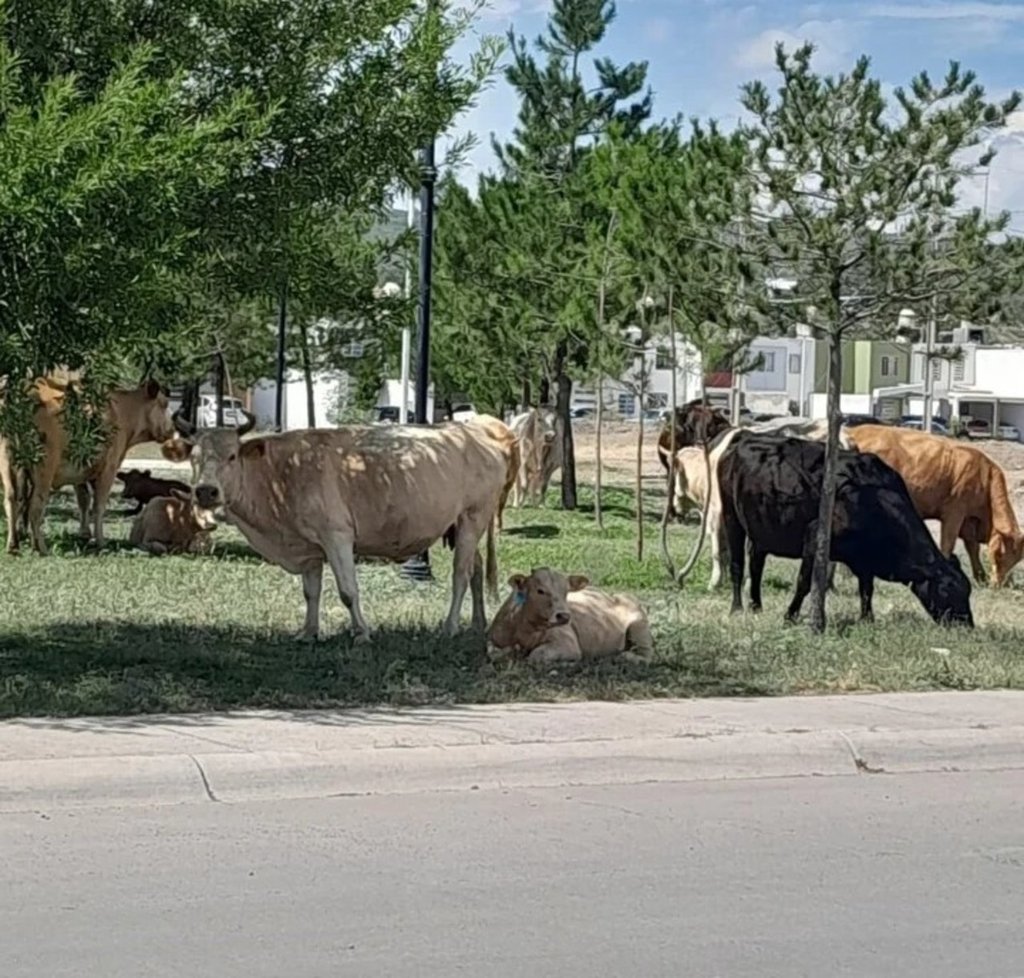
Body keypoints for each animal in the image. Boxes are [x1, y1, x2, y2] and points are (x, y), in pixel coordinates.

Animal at [1, 376, 176, 553]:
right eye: (164, 404)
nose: (172, 430)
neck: (122, 411)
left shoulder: (80, 470)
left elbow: (83, 499)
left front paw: (84, 534)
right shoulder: (109, 468)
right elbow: (99, 505)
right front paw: (100, 541)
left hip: (7, 463)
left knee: (11, 499)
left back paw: (13, 545)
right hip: (44, 468)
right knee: (35, 504)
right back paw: (41, 548)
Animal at [483, 565, 651, 663]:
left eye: (566, 591)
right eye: (540, 590)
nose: (564, 616)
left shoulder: (568, 645)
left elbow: (535, 656)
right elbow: (493, 652)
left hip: (639, 627)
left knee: (647, 655)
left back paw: (624, 656)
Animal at [716, 434, 970, 626]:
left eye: (968, 590)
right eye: (947, 589)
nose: (966, 625)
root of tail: (742, 440)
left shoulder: (865, 560)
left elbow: (867, 588)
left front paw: (867, 618)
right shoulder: (814, 538)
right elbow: (804, 583)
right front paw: (790, 616)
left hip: (761, 530)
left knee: (756, 565)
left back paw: (756, 606)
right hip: (731, 515)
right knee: (738, 565)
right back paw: (736, 608)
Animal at [839, 421, 1024, 589]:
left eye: (1016, 560)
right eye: (999, 554)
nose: (998, 584)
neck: (985, 477)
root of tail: (852, 431)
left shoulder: (968, 522)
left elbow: (973, 549)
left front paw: (981, 578)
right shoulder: (954, 512)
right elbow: (948, 544)